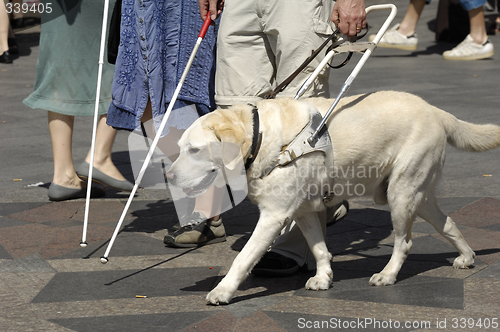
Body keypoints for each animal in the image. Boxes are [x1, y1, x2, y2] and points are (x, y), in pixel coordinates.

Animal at [166, 92, 498, 304]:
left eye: (195, 150)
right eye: (180, 148)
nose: (168, 176)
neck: (263, 140)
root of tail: (435, 110)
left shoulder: (274, 216)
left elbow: (243, 258)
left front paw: (223, 291)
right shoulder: (302, 212)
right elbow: (319, 249)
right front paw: (324, 278)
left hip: (401, 194)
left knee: (404, 243)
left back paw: (388, 274)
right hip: (418, 195)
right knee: (448, 223)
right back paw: (467, 257)